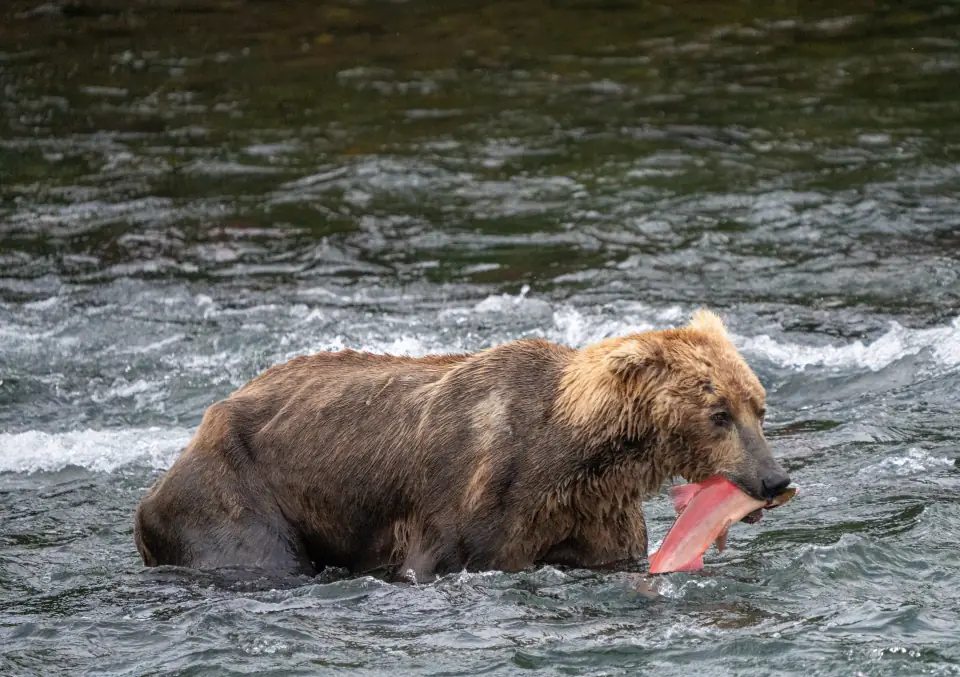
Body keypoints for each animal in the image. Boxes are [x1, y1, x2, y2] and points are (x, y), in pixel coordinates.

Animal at [133, 309, 791, 582]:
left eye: (759, 406)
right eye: (718, 413)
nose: (774, 480)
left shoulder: (592, 513)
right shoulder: (472, 502)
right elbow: (442, 558)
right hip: (234, 494)